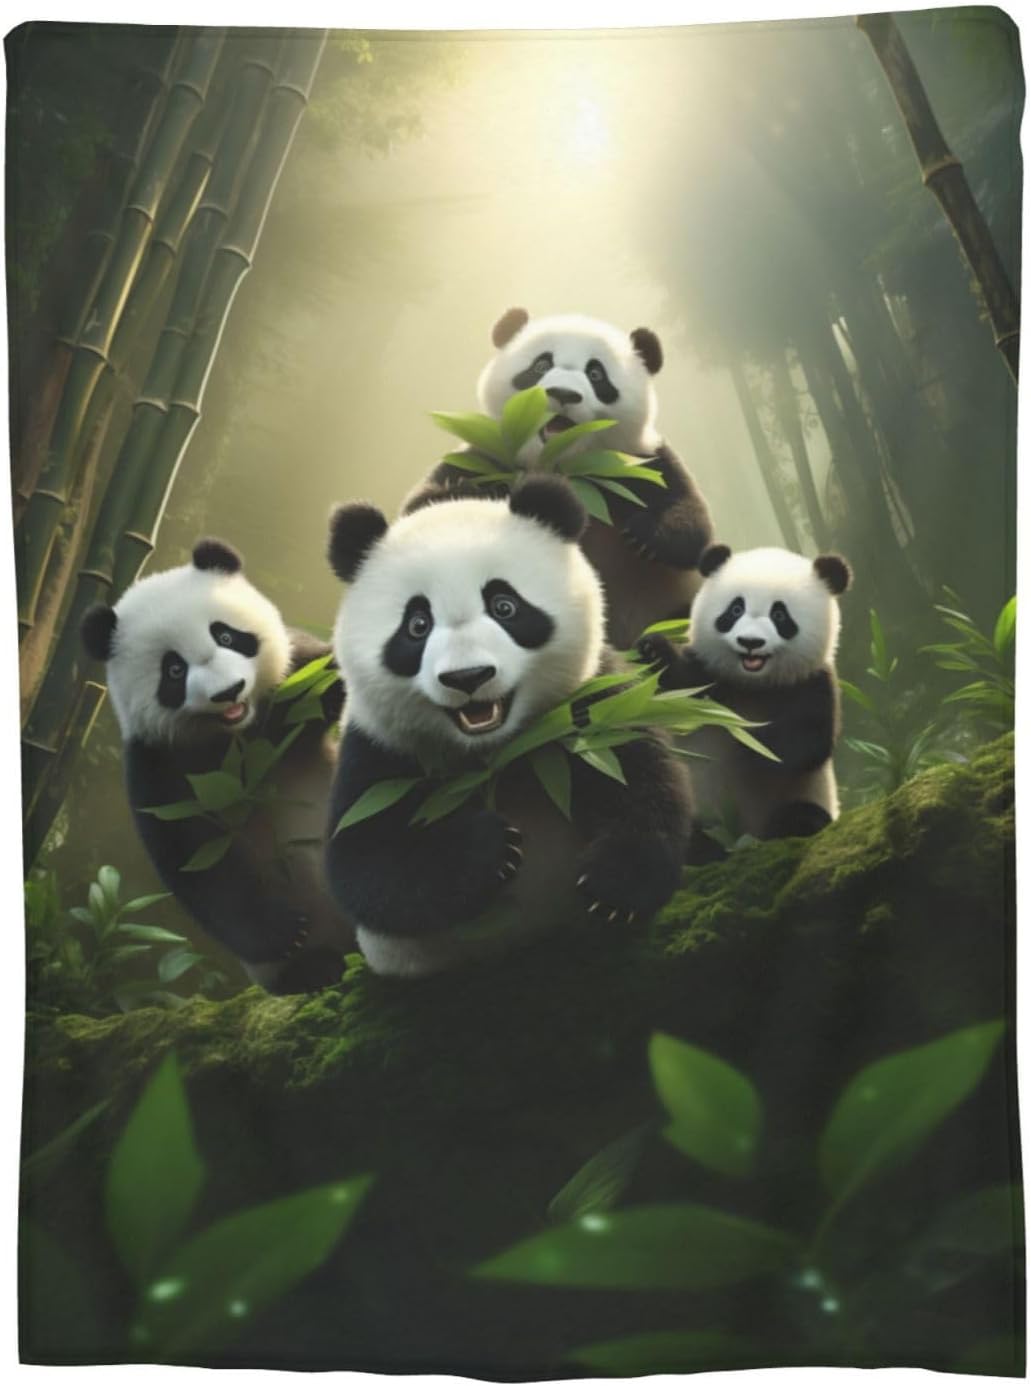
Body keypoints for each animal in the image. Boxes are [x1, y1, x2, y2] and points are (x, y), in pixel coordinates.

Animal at [80, 538, 353, 994]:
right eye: (174, 669)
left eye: (226, 634)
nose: (229, 691)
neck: (236, 736)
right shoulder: (159, 764)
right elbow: (196, 861)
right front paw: (283, 932)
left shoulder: (299, 680)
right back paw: (318, 969)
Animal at [324, 476, 692, 979]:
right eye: (417, 624)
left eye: (504, 605)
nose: (468, 678)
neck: (499, 750)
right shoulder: (379, 748)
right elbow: (363, 863)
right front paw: (491, 848)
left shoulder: (593, 702)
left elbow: (645, 780)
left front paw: (616, 888)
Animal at [407, 309, 715, 650]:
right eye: (541, 365)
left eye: (596, 374)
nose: (564, 394)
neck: (560, 465)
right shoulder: (485, 453)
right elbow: (422, 510)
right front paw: (488, 493)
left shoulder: (637, 460)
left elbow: (691, 519)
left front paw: (646, 537)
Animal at [638, 543, 852, 846]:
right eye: (736, 609)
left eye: (780, 615)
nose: (751, 642)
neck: (752, 685)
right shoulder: (709, 675)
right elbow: (679, 689)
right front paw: (652, 649)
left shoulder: (813, 684)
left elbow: (809, 743)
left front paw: (751, 742)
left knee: (800, 816)